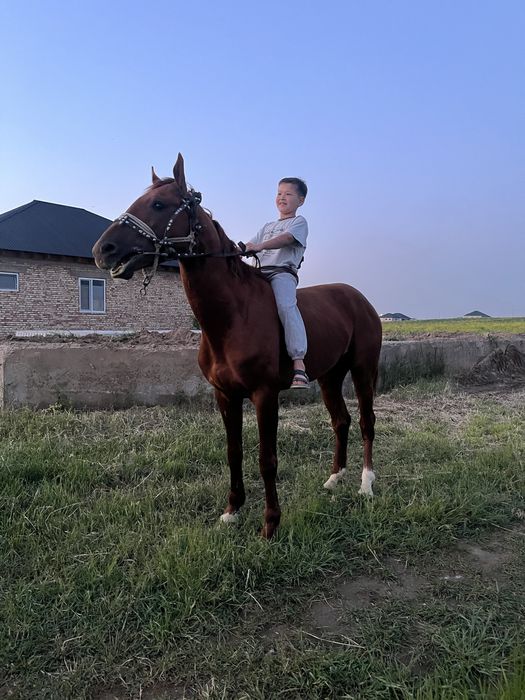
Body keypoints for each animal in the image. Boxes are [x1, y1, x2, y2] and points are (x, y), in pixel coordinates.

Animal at [92, 155, 382, 539]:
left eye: (158, 204)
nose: (103, 250)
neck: (232, 317)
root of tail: (359, 298)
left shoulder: (264, 395)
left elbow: (267, 459)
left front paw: (270, 523)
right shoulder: (225, 396)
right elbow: (234, 453)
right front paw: (232, 511)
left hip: (363, 371)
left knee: (366, 421)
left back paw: (366, 484)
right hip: (330, 377)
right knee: (341, 421)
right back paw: (335, 479)